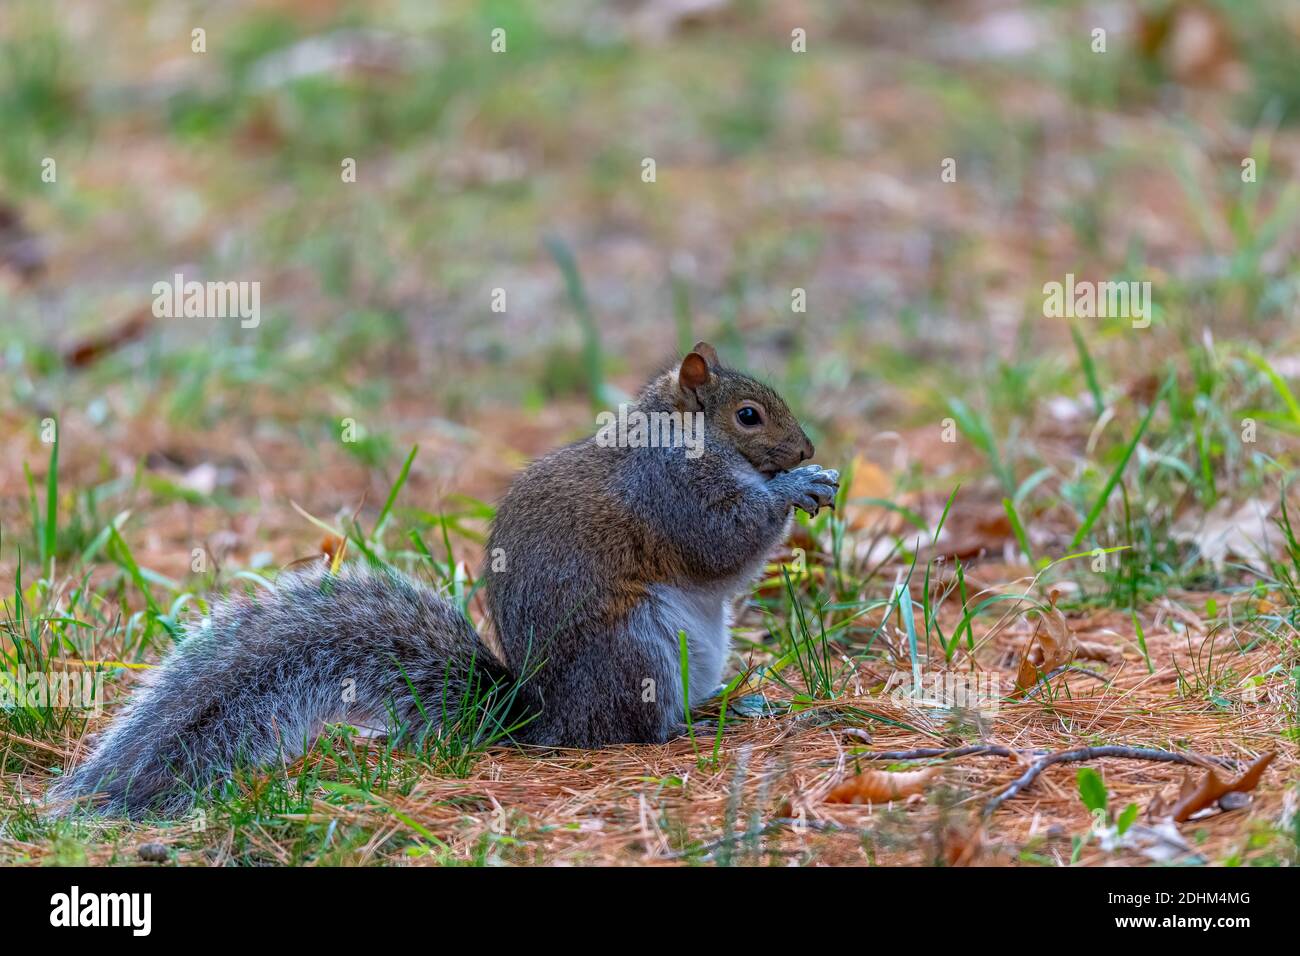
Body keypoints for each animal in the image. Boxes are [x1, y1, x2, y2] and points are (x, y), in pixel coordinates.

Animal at [50, 343, 837, 816]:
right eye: (748, 415)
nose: (806, 448)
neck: (679, 437)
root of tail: (543, 719)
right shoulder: (670, 491)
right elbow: (719, 542)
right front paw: (796, 487)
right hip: (636, 647)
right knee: (631, 730)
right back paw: (684, 726)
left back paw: (734, 703)